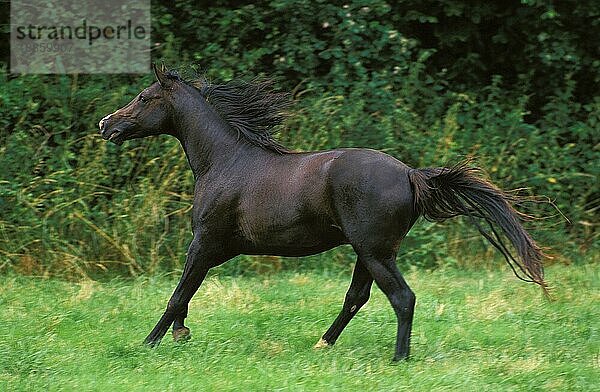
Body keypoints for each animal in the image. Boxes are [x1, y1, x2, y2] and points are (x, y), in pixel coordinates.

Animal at [99, 64, 548, 362]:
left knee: (401, 297)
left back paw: (398, 358)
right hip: (371, 252)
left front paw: (148, 343)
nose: (106, 125)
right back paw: (323, 343)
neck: (224, 161)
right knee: (357, 298)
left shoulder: (206, 240)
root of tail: (410, 173)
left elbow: (178, 293)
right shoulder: (220, 248)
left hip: (375, 252)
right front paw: (180, 335)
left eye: (144, 97)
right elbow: (188, 292)